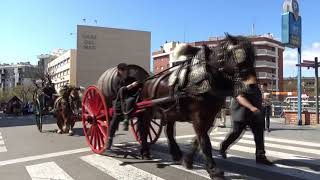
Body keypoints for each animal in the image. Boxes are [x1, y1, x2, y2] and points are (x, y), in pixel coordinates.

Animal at [141, 34, 256, 179]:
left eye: (253, 58)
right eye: (239, 55)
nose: (252, 85)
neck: (205, 78)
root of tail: (147, 80)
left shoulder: (210, 116)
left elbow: (198, 140)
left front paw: (188, 160)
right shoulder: (198, 117)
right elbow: (205, 142)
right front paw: (213, 170)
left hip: (171, 112)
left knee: (169, 132)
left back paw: (176, 154)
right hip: (147, 110)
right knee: (144, 128)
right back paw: (145, 151)